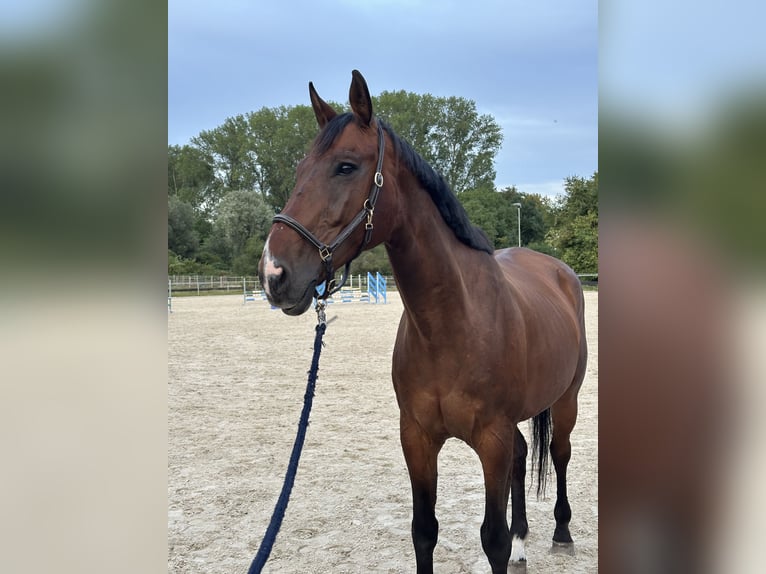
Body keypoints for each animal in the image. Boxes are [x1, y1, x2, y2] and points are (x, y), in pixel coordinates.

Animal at [258, 70, 587, 573]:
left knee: (559, 452)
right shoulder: (416, 438)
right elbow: (423, 531)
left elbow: (492, 538)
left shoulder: (489, 440)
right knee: (522, 456)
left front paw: (512, 541)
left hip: (567, 400)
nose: (274, 273)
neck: (451, 326)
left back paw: (562, 533)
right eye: (298, 170)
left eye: (346, 167)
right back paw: (524, 543)